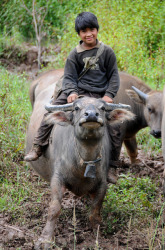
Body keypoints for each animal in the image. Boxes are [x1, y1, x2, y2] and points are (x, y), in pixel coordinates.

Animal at [26, 90, 134, 248]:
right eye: (76, 108)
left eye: (102, 108)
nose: (91, 115)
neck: (84, 162)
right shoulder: (57, 179)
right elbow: (54, 208)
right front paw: (45, 240)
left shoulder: (102, 184)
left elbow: (95, 210)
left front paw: (98, 236)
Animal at [28, 69, 162, 164]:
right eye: (149, 108)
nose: (157, 132)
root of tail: (38, 80)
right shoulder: (119, 132)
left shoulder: (129, 135)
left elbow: (133, 149)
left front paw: (136, 164)